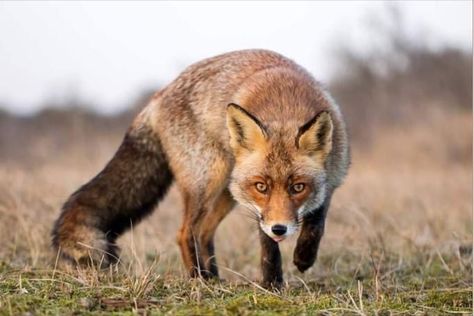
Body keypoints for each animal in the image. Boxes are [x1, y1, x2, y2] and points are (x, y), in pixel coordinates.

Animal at [51, 48, 350, 286]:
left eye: (298, 187)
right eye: (261, 187)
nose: (280, 229)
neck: (285, 106)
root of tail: (160, 93)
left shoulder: (331, 182)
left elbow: (316, 224)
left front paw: (304, 257)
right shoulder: (259, 211)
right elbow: (268, 249)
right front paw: (273, 284)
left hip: (226, 192)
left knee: (204, 232)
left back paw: (214, 277)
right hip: (207, 181)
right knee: (185, 232)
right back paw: (199, 278)